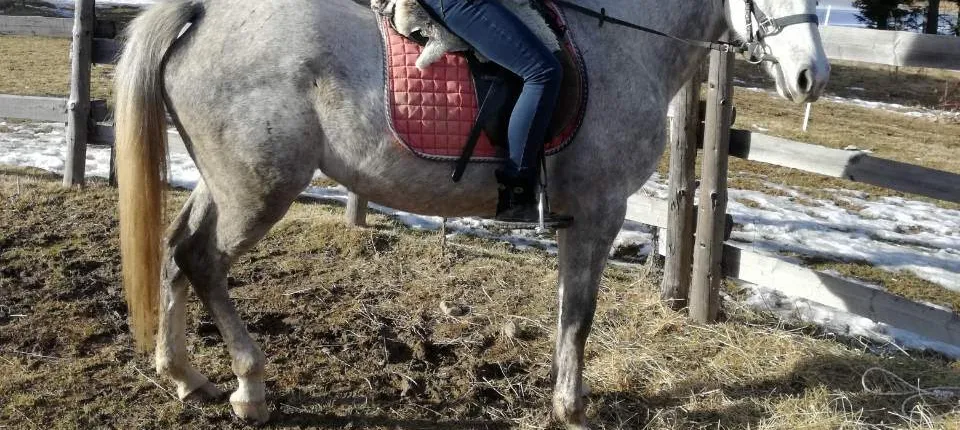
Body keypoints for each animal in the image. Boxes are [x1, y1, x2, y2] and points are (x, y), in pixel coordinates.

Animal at [113, 0, 829, 427]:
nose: (811, 78)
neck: (620, 44)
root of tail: (205, 15)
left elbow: (568, 313)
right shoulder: (599, 212)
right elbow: (579, 316)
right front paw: (572, 406)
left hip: (224, 184)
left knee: (177, 253)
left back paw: (185, 377)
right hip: (258, 191)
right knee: (202, 260)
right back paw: (250, 387)